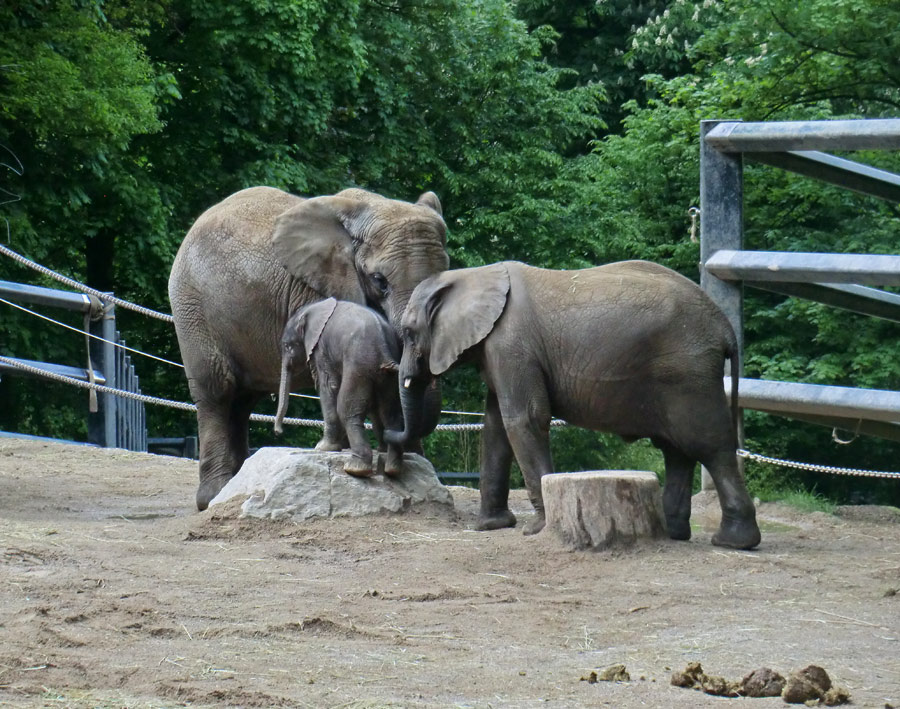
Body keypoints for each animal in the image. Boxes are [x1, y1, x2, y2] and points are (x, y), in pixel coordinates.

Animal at [272, 296, 402, 478]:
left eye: (287, 346)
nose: (278, 432)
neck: (314, 308)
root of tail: (384, 351)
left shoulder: (321, 347)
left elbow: (328, 385)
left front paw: (323, 448)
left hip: (359, 366)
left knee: (347, 410)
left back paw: (356, 468)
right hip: (388, 375)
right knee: (390, 413)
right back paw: (392, 468)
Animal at [384, 258, 760, 548]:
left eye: (409, 333)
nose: (388, 445)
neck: (473, 275)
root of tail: (726, 328)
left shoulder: (511, 345)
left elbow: (524, 419)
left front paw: (536, 530)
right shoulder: (498, 351)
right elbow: (496, 427)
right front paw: (490, 527)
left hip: (688, 374)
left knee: (709, 446)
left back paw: (733, 543)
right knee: (677, 451)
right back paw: (674, 533)